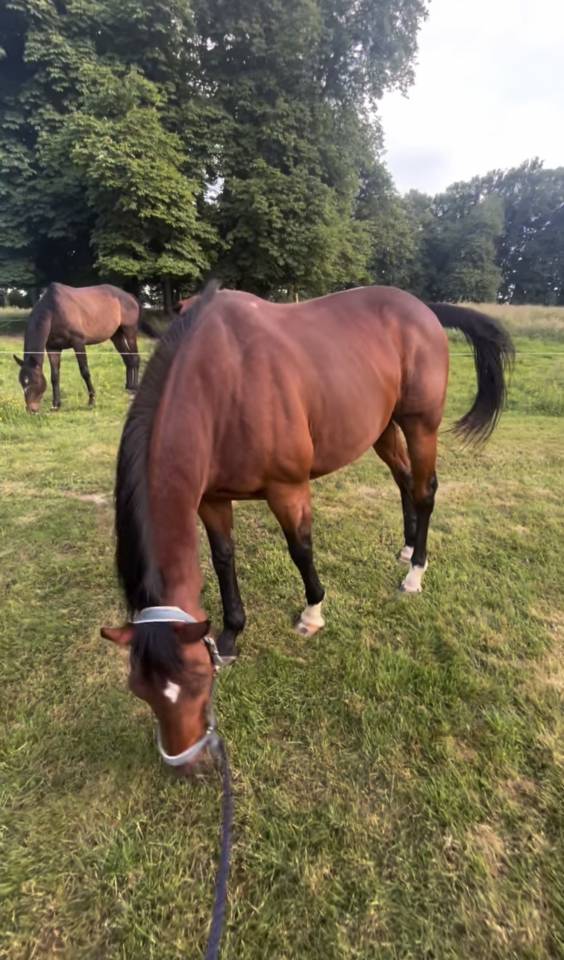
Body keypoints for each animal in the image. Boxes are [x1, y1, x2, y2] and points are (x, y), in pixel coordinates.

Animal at [14, 283, 142, 412]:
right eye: (21, 382)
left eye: (34, 381)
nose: (31, 409)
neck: (54, 312)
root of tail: (129, 296)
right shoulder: (52, 348)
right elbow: (54, 376)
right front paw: (56, 405)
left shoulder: (78, 343)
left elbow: (85, 371)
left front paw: (91, 401)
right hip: (116, 336)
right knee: (127, 359)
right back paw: (128, 386)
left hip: (130, 331)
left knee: (135, 358)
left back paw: (134, 387)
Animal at [101, 282, 514, 774]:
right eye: (139, 690)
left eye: (200, 680)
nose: (189, 765)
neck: (221, 383)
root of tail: (422, 309)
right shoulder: (212, 499)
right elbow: (223, 558)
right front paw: (233, 633)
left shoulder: (288, 489)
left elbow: (300, 549)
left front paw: (312, 613)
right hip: (381, 427)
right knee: (402, 479)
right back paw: (406, 546)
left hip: (421, 424)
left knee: (425, 489)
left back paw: (415, 571)